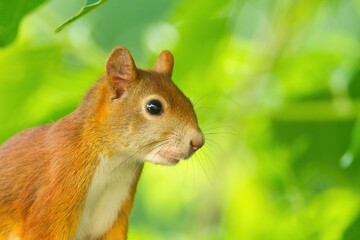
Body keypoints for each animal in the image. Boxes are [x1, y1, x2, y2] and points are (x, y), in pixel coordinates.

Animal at [0, 47, 204, 240]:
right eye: (153, 107)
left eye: (188, 101)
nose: (198, 142)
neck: (114, 163)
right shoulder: (54, 195)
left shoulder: (114, 212)